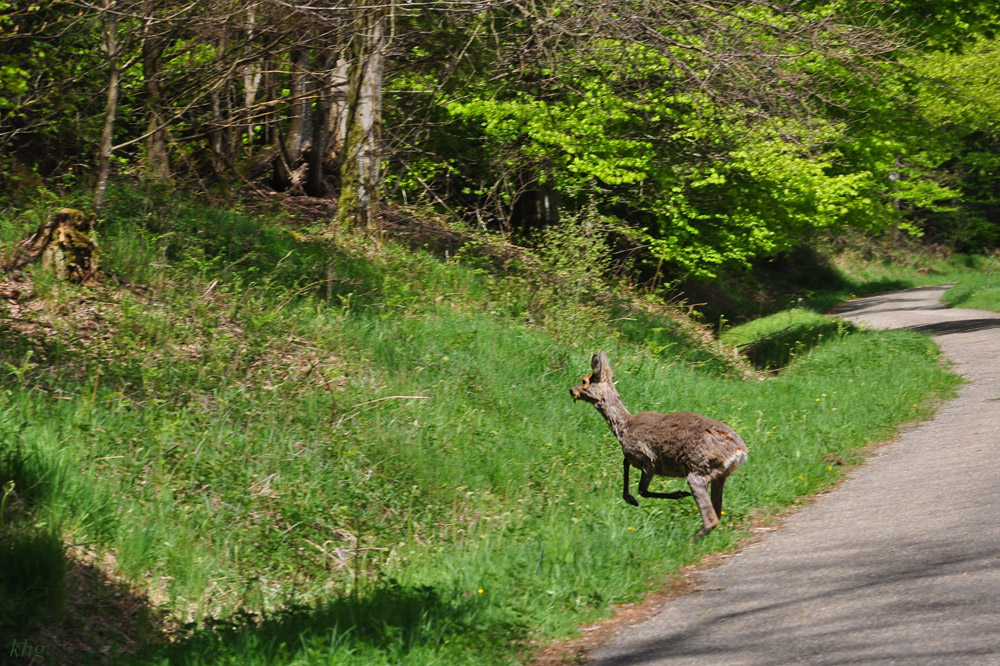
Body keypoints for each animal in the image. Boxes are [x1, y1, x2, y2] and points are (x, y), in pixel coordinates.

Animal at [570, 351, 747, 540]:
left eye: (584, 381)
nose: (571, 390)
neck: (625, 427)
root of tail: (741, 452)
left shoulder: (648, 460)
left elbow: (642, 489)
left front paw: (676, 494)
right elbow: (626, 464)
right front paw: (629, 498)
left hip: (699, 470)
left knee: (711, 517)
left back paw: (690, 539)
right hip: (719, 476)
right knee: (717, 512)